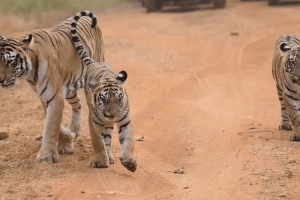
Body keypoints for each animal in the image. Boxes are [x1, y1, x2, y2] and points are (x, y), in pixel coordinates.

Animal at [0, 10, 104, 163]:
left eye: (10, 62)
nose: (0, 80)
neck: (30, 72)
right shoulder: (45, 96)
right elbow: (55, 124)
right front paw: (68, 140)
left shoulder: (54, 97)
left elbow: (51, 126)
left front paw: (47, 155)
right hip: (69, 88)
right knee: (77, 104)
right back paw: (74, 130)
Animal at [70, 11, 136, 172]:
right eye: (104, 100)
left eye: (119, 99)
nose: (112, 114)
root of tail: (95, 62)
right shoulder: (93, 121)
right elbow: (97, 142)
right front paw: (100, 161)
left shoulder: (125, 120)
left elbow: (128, 141)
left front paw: (129, 162)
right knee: (104, 139)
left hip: (109, 123)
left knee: (108, 138)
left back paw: (110, 156)